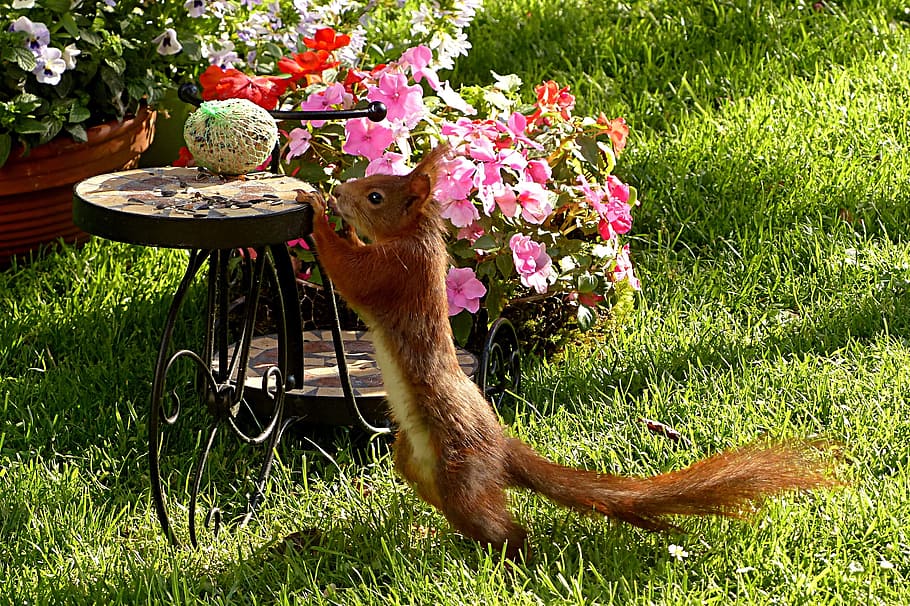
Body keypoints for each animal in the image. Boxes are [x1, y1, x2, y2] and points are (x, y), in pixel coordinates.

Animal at [304, 143, 836, 558]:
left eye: (375, 195)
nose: (340, 193)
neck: (414, 235)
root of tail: (501, 446)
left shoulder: (396, 272)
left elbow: (351, 275)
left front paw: (317, 214)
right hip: (416, 465)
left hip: (459, 473)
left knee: (502, 527)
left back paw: (512, 558)